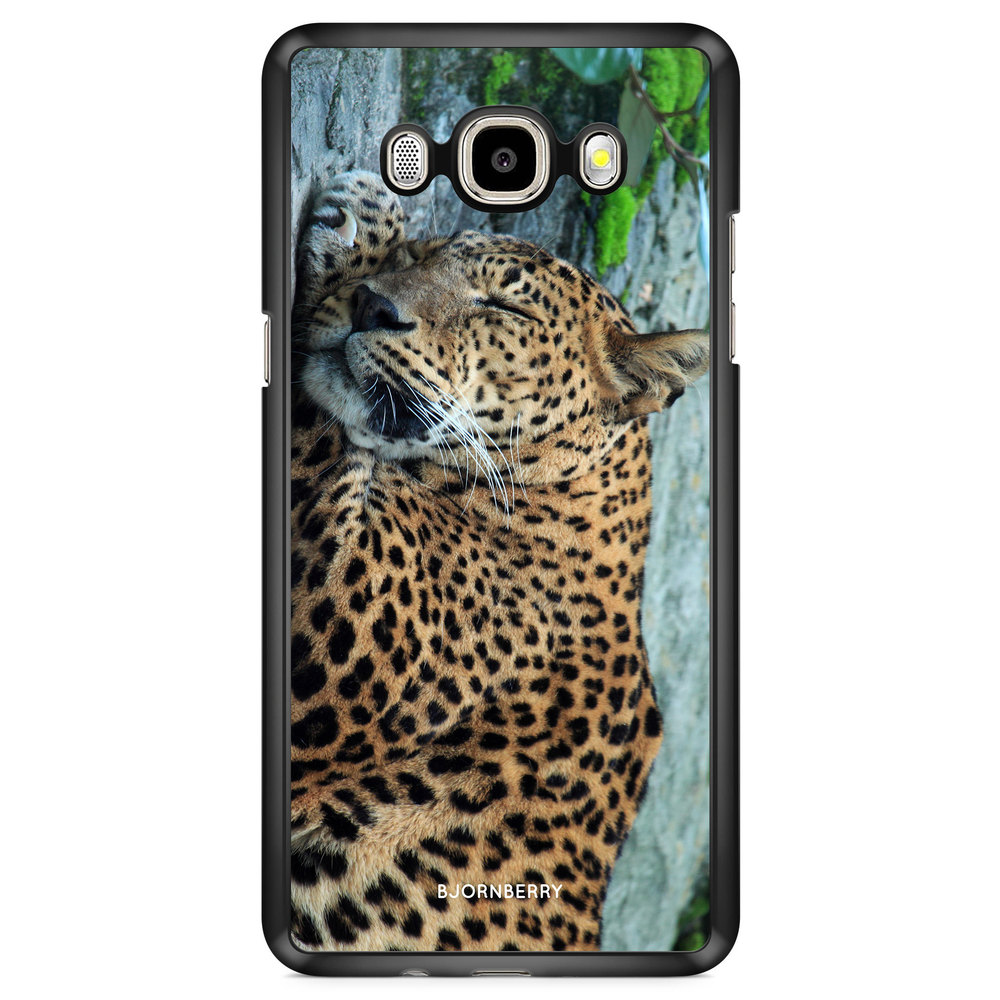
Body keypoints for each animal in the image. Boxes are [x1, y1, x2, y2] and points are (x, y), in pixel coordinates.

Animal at [288, 171, 709, 953]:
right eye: (426, 254)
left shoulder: (343, 614)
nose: (372, 305)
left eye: (503, 306)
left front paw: (360, 221)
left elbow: (321, 428)